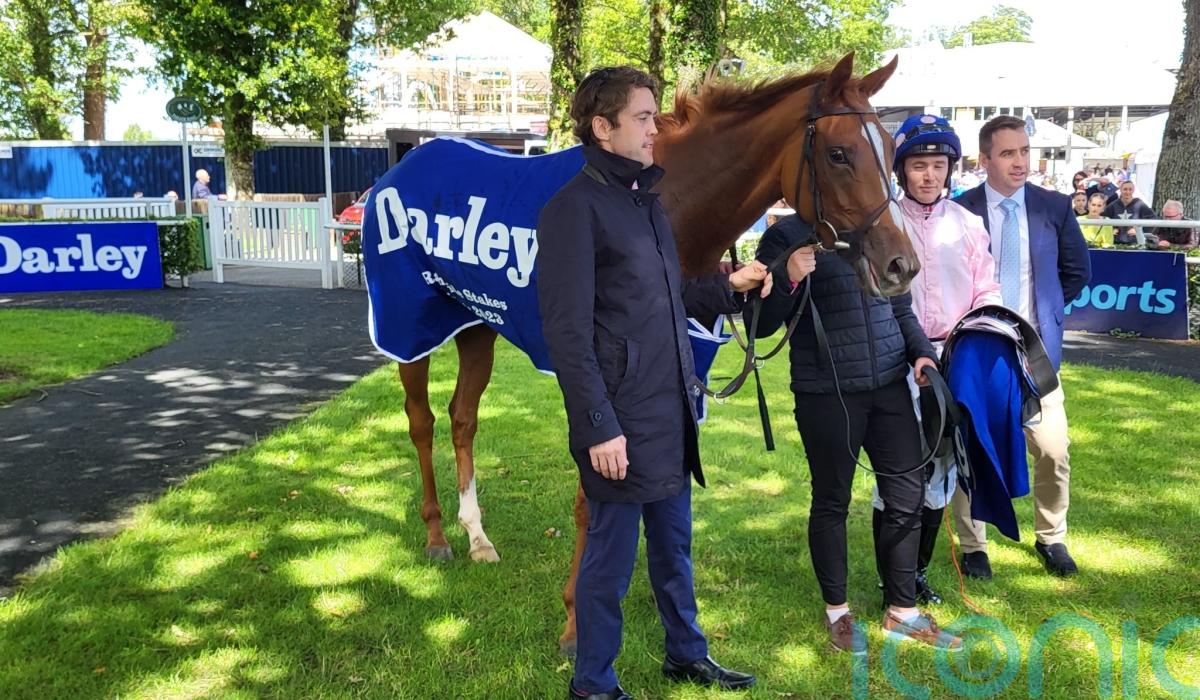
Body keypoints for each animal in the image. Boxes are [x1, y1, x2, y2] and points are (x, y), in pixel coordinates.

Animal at [361, 51, 914, 655]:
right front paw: (577, 621)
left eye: (890, 146)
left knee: (463, 419)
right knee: (421, 421)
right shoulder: (596, 391)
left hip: (476, 325)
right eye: (838, 154)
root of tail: (403, 164)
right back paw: (437, 534)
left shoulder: (678, 378)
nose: (902, 266)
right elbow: (593, 500)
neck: (661, 204)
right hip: (409, 327)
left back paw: (477, 536)